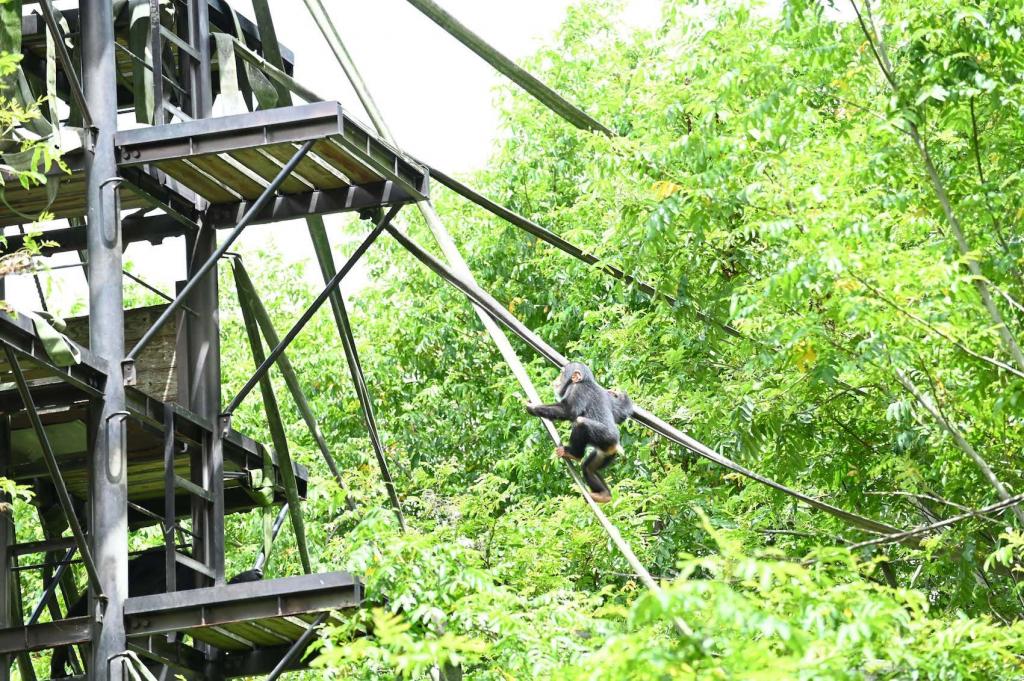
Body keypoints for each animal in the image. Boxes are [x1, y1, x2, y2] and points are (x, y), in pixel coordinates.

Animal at [528, 364, 630, 501]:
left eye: (562, 373)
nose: (557, 378)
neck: (585, 381)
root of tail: (615, 445)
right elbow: (621, 413)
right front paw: (620, 395)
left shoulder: (577, 390)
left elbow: (568, 411)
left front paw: (533, 407)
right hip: (605, 455)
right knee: (588, 468)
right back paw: (604, 495)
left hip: (604, 437)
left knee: (580, 422)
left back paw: (573, 454)